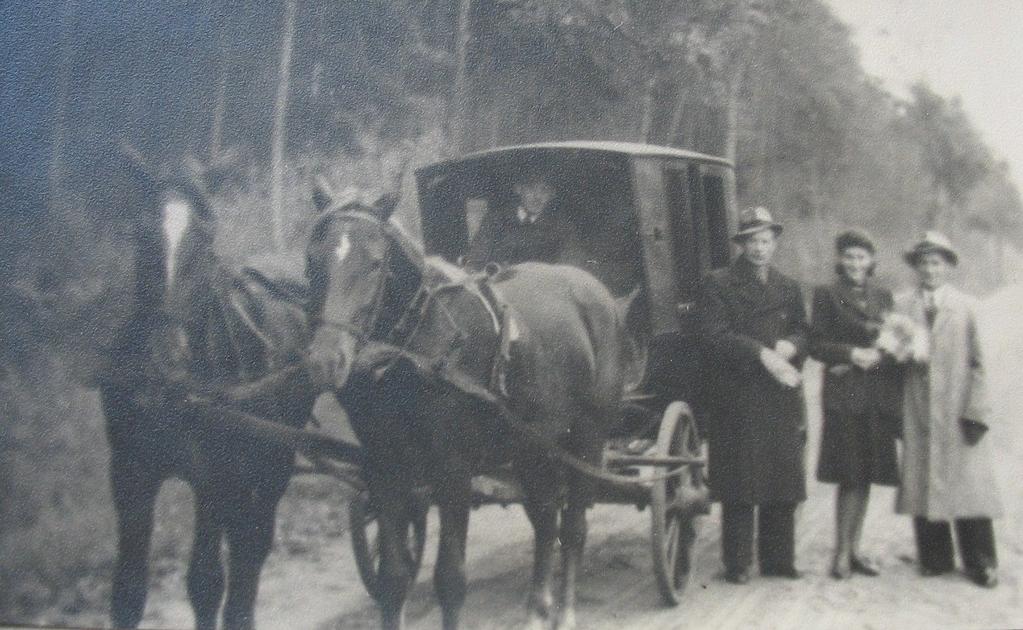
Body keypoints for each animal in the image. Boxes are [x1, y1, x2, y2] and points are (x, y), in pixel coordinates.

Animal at [26, 144, 315, 630]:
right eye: (140, 235)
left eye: (206, 239)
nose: (163, 359)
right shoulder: (130, 471)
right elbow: (127, 591)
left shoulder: (216, 474)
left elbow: (205, 581)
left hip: (272, 456)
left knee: (252, 546)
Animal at [298, 198, 626, 630]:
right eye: (312, 260)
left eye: (374, 263)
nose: (325, 361)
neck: (414, 348)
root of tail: (596, 292)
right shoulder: (384, 470)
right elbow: (393, 577)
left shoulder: (452, 471)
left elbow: (450, 579)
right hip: (533, 446)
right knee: (545, 520)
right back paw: (536, 611)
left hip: (587, 437)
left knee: (571, 529)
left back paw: (566, 612)